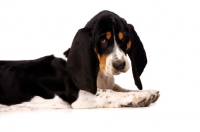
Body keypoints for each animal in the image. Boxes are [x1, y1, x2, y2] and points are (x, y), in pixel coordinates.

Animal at [0, 10, 159, 109]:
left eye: (124, 39)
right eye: (102, 40)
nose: (119, 65)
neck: (101, 74)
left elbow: (119, 89)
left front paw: (148, 92)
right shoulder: (82, 97)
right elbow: (110, 92)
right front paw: (140, 96)